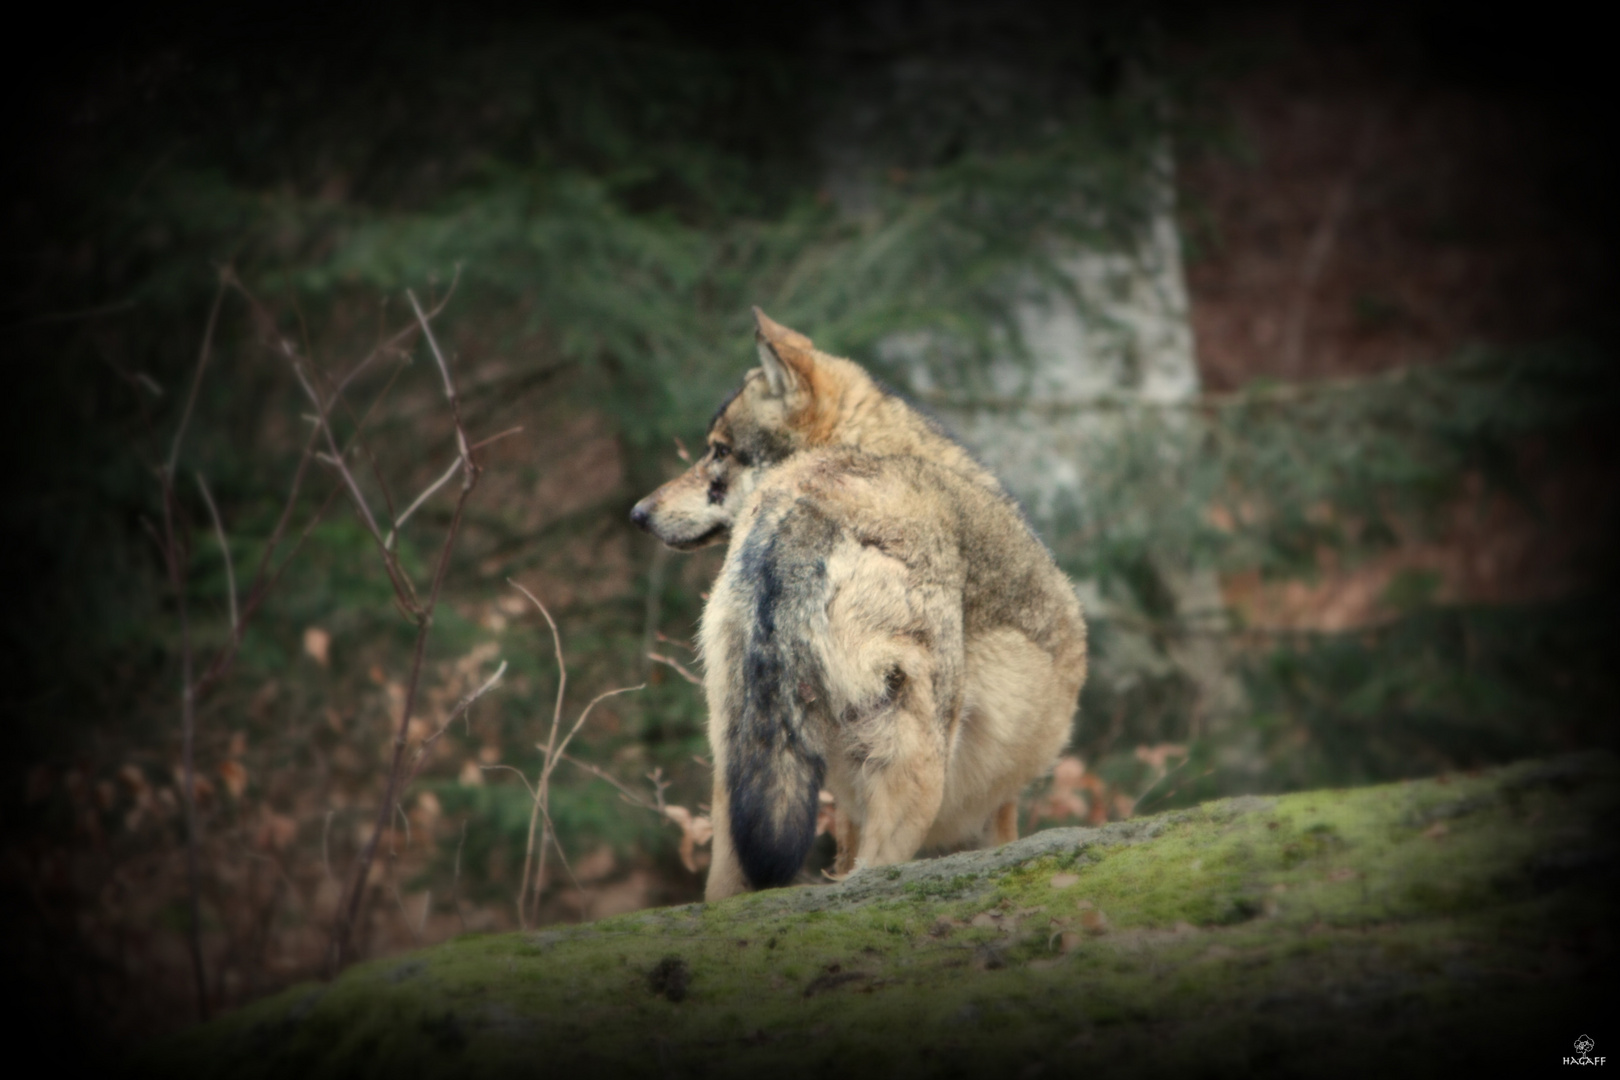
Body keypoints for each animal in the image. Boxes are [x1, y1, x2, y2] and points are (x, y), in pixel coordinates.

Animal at [631, 307, 1088, 900]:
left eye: (719, 451)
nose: (638, 513)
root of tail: (807, 499)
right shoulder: (994, 808)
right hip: (917, 777)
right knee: (873, 874)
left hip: (739, 769)